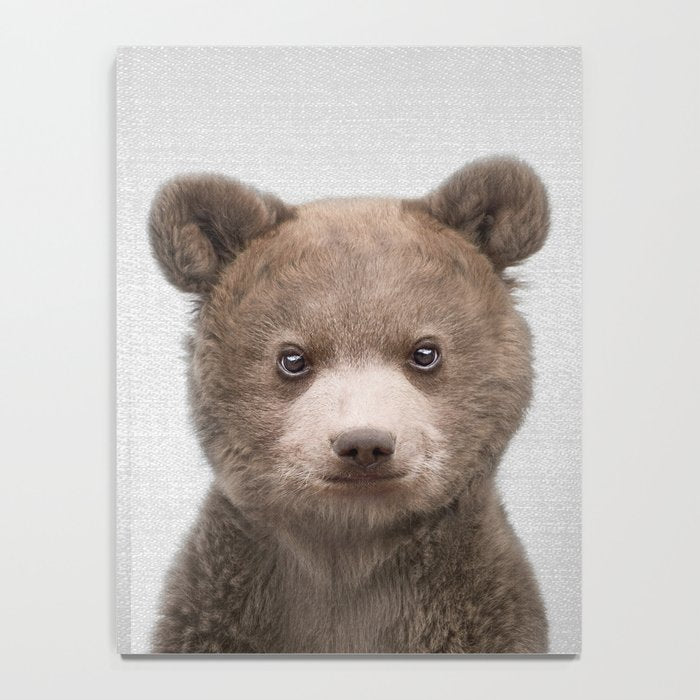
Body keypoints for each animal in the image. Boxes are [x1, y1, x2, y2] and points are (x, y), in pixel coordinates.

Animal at [148, 156, 550, 654]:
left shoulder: (478, 610)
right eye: (293, 358)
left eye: (425, 352)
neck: (350, 549)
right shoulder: (221, 606)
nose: (364, 444)